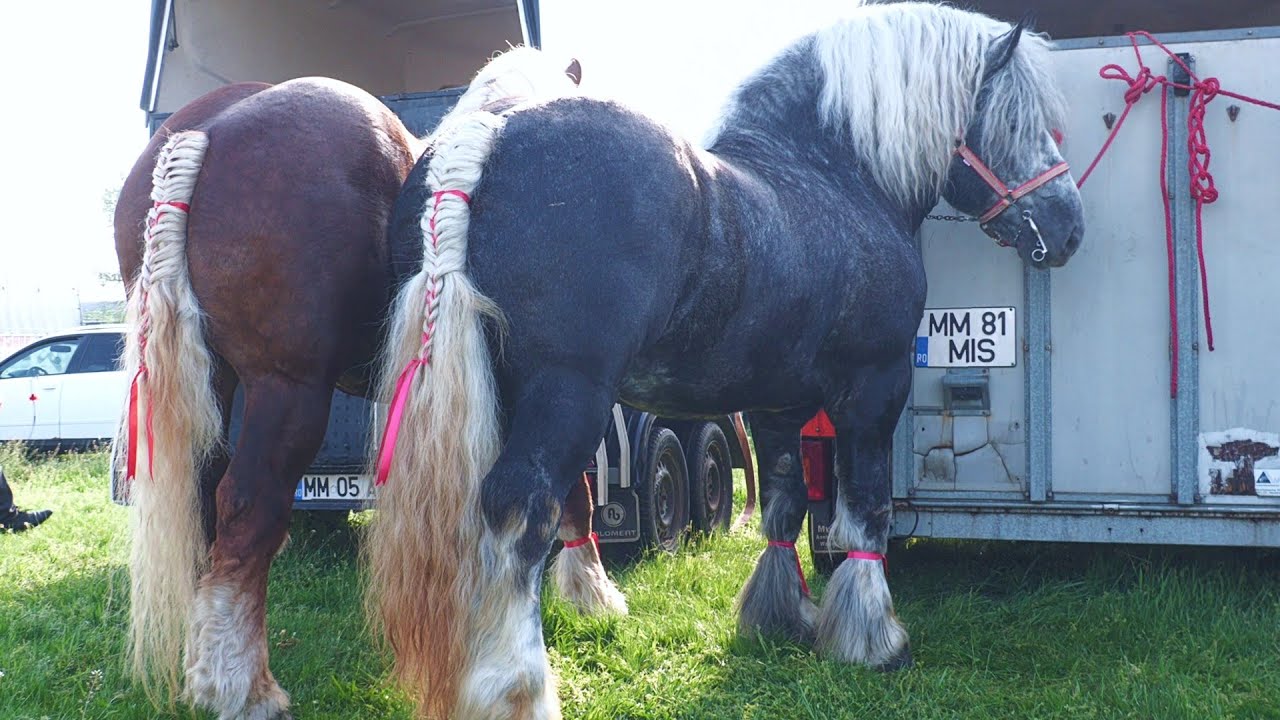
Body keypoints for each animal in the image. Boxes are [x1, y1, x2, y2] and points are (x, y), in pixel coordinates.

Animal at [112, 48, 583, 719]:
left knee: (208, 504)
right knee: (248, 508)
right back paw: (242, 688)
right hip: (287, 391)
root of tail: (203, 132)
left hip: (219, 388)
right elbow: (570, 493)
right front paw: (591, 593)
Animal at [368, 3, 1084, 718]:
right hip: (567, 392)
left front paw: (781, 620)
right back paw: (521, 690)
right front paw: (874, 641)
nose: (1069, 227)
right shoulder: (873, 390)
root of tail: (484, 136)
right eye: (1014, 118)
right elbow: (865, 514)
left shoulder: (778, 405)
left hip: (513, 392)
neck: (833, 177)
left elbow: (784, 506)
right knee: (520, 511)